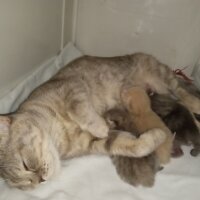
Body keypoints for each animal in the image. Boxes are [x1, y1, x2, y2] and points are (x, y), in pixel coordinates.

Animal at [0, 52, 200, 190]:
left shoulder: (71, 89)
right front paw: (157, 136)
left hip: (162, 78)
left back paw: (196, 103)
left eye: (25, 164)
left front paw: (100, 126)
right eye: (24, 184)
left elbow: (80, 109)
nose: (40, 180)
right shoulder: (94, 143)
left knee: (182, 92)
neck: (60, 137)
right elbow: (133, 147)